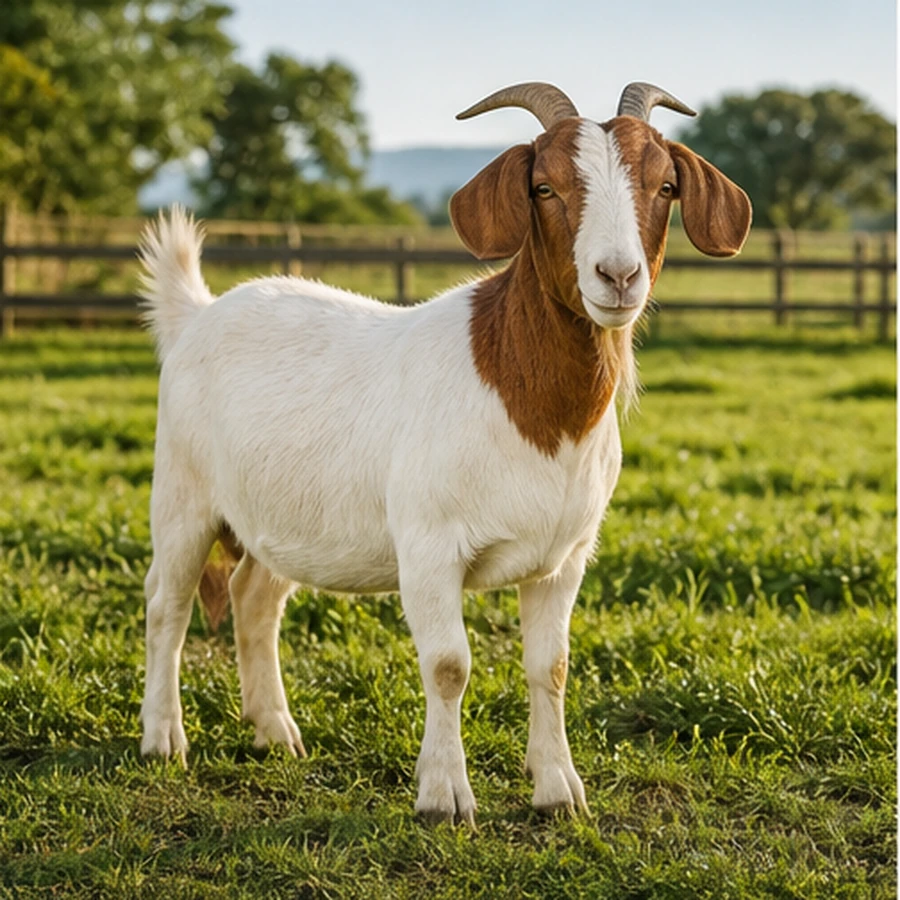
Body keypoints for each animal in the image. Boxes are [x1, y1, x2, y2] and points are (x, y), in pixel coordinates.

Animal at [138, 81, 752, 825]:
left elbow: (551, 666)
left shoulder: (564, 559)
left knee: (254, 599)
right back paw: (164, 739)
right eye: (544, 187)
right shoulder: (429, 548)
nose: (618, 274)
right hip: (182, 494)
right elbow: (448, 665)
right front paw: (444, 797)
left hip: (286, 518)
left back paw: (275, 732)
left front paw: (558, 791)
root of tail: (196, 314)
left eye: (664, 185)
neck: (532, 409)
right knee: (166, 604)